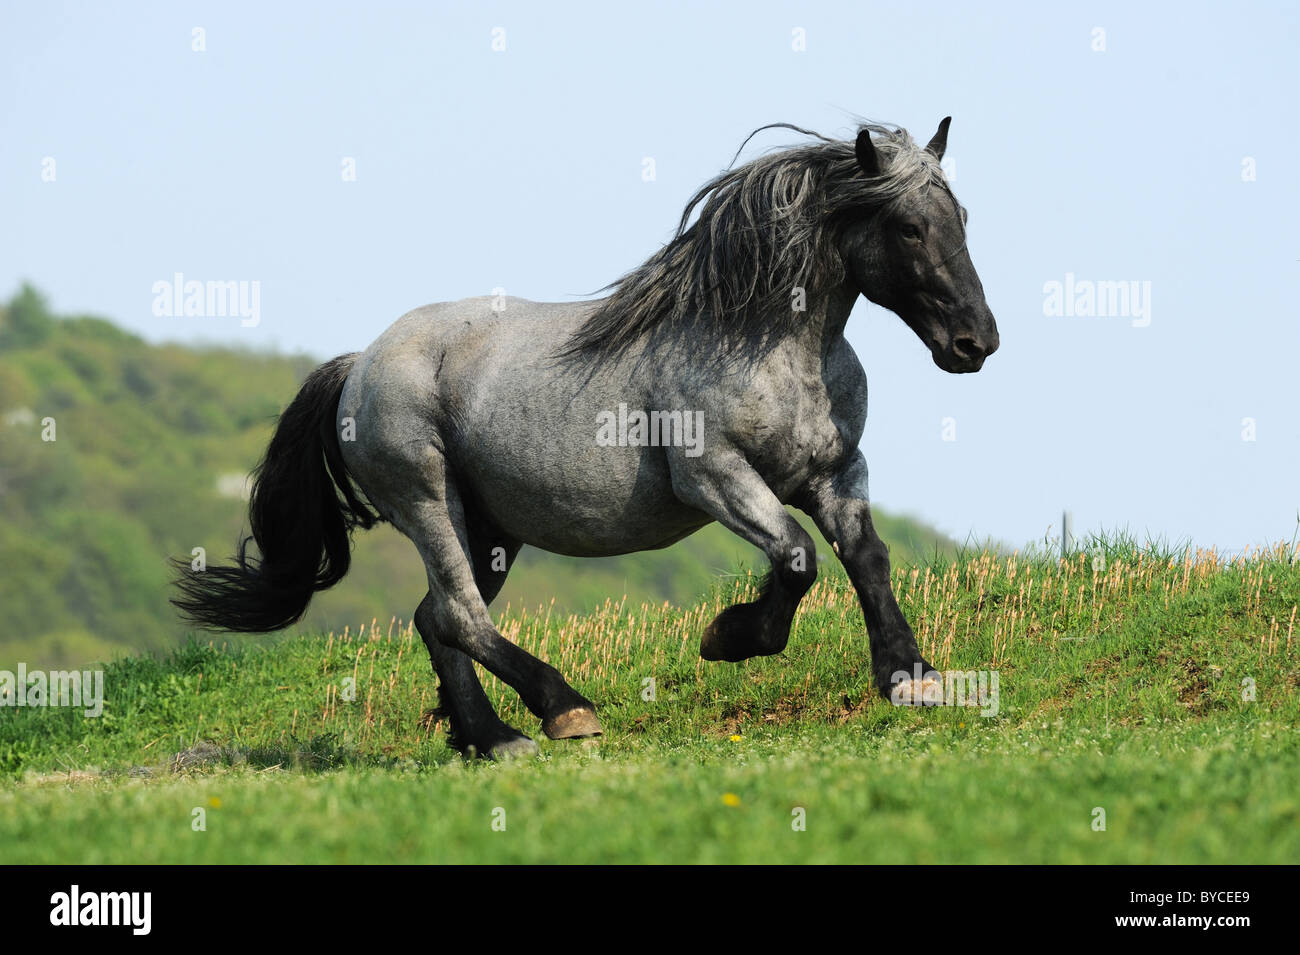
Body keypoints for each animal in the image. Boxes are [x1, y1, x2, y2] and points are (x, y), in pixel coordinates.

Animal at [173, 117, 1000, 759]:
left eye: (962, 218)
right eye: (908, 226)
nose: (975, 342)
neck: (769, 346)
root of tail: (359, 364)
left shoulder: (836, 472)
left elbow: (867, 558)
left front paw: (912, 675)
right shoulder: (716, 476)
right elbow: (796, 558)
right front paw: (728, 636)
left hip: (490, 527)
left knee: (438, 617)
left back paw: (491, 737)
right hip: (427, 500)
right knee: (461, 615)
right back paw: (562, 709)